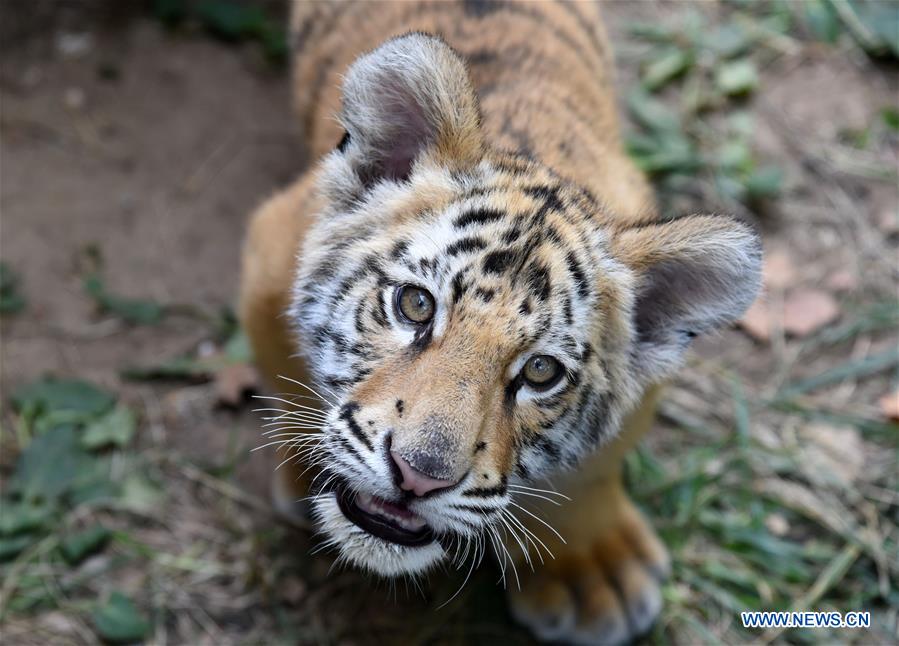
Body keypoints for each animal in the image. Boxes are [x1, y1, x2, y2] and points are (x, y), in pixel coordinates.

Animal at [239, 1, 762, 644]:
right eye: (416, 305)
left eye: (540, 372)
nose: (418, 478)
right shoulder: (268, 258)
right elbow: (288, 384)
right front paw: (303, 477)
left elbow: (591, 470)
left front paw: (594, 573)